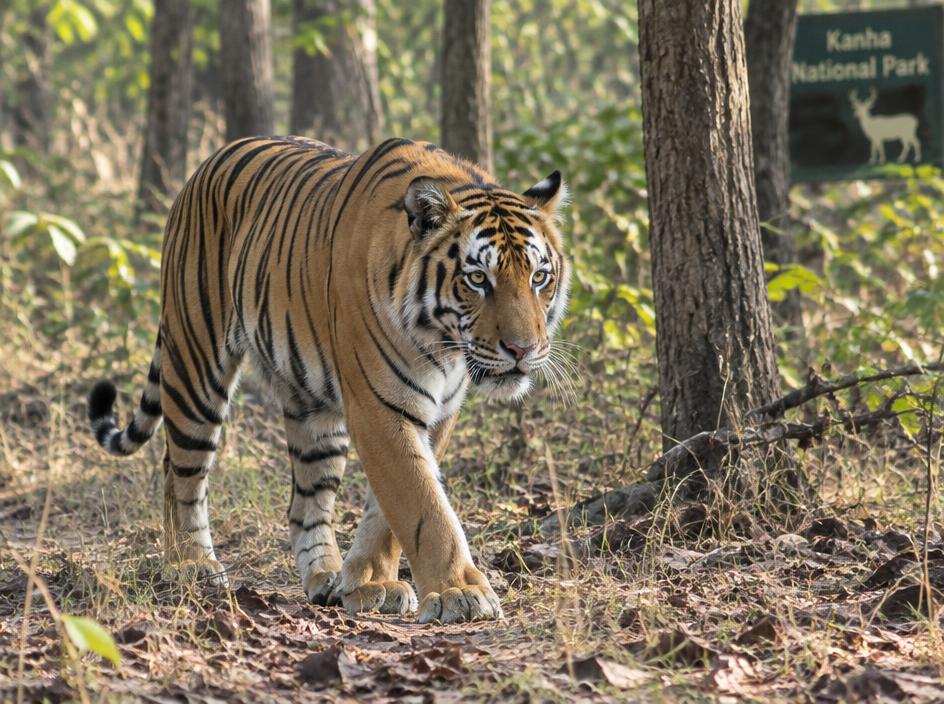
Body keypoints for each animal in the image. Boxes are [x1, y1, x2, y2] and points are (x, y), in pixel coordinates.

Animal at [87, 136, 570, 624]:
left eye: (538, 277)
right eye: (476, 278)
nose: (523, 349)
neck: (442, 345)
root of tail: (208, 163)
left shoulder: (437, 413)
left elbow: (391, 509)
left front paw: (372, 582)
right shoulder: (378, 405)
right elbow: (422, 504)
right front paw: (460, 592)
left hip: (311, 409)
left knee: (304, 503)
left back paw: (324, 576)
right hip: (195, 364)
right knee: (179, 470)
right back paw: (191, 565)